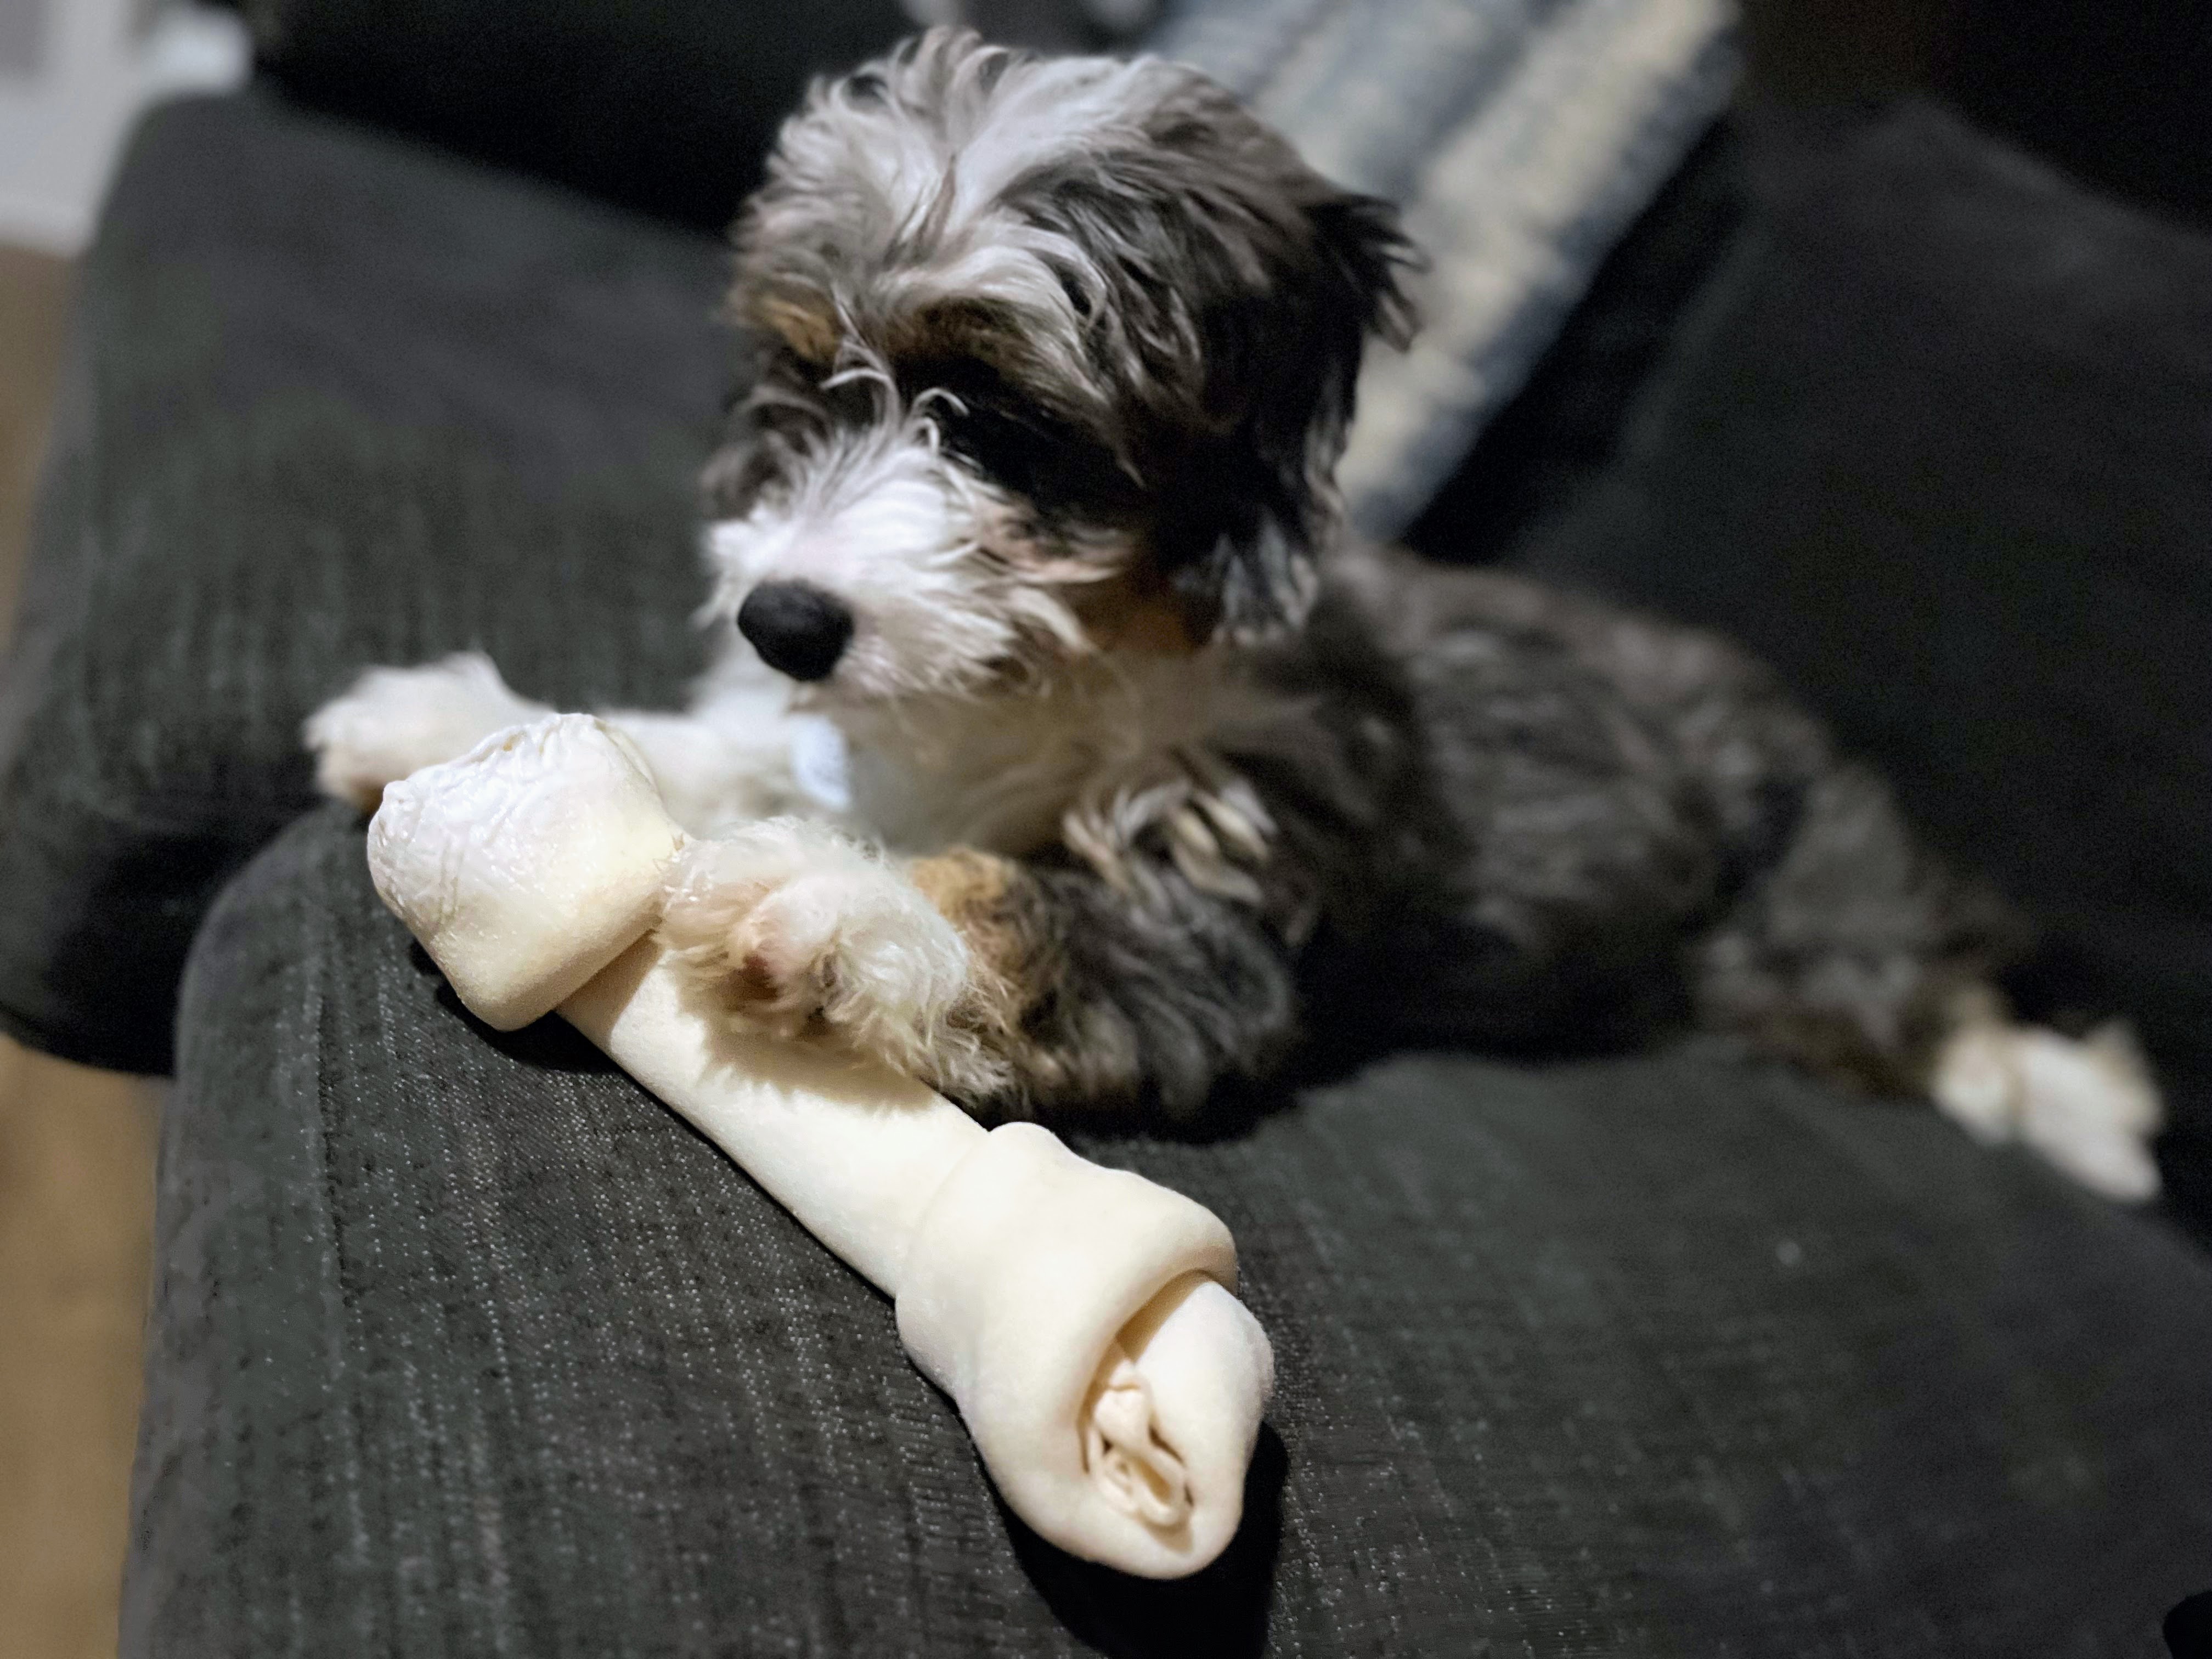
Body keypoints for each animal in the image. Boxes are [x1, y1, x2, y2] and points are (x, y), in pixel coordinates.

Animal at [303, 26, 2168, 1194]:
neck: (1053, 681)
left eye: (995, 424)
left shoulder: (1231, 912)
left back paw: (2089, 1113)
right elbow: (713, 756)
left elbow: (1036, 915)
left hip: (1813, 942)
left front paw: (833, 906)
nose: (786, 622)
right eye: (806, 380)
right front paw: (472, 738)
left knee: (1937, 1010)